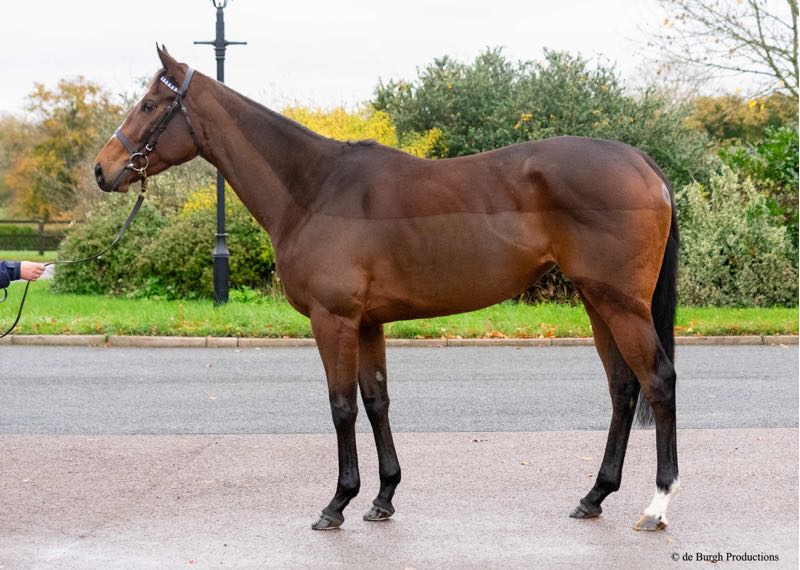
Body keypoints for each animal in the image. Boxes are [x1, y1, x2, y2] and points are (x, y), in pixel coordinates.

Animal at [94, 46, 680, 532]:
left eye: (149, 104)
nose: (103, 169)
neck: (314, 188)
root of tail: (641, 161)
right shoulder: (368, 323)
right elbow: (377, 401)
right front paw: (382, 498)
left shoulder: (333, 319)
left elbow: (341, 406)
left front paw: (337, 503)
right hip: (597, 302)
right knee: (623, 389)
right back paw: (594, 496)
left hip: (620, 303)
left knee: (657, 380)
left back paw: (657, 505)